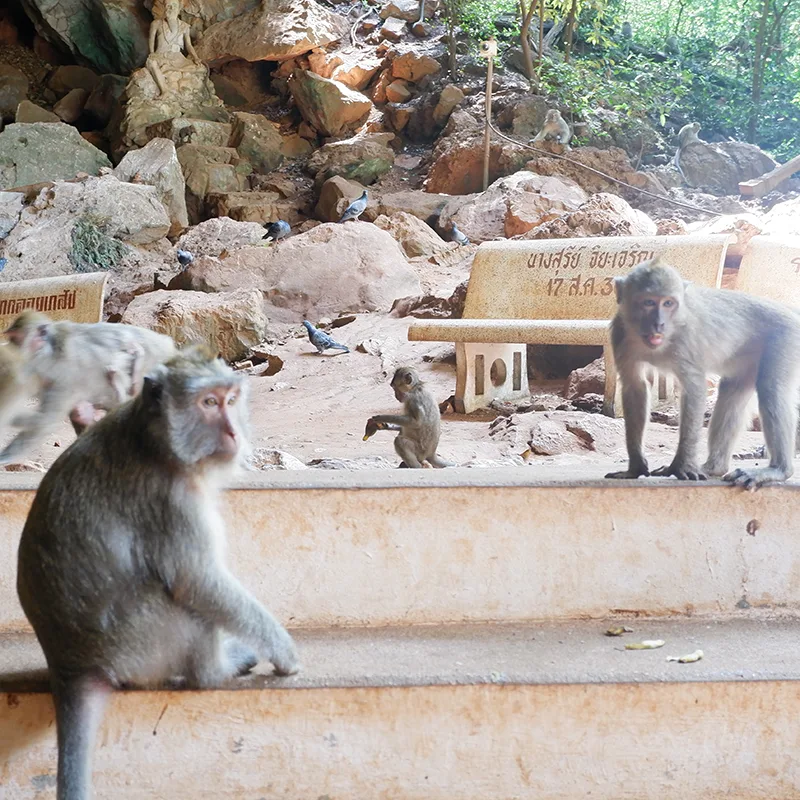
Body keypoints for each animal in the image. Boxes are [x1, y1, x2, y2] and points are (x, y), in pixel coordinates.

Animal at [0, 311, 177, 464]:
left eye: (16, 340)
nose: (9, 349)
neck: (49, 352)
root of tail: (170, 346)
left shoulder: (64, 377)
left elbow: (45, 421)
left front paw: (5, 457)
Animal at [16, 346, 299, 800]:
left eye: (231, 400)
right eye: (208, 403)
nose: (234, 433)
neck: (154, 441)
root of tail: (71, 667)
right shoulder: (171, 501)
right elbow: (195, 580)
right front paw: (283, 651)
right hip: (142, 643)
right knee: (184, 601)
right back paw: (216, 671)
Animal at [605, 258, 800, 489]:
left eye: (668, 303)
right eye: (649, 302)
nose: (658, 323)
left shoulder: (686, 338)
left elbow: (694, 388)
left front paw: (681, 466)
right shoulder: (619, 333)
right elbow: (635, 386)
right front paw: (635, 468)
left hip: (786, 337)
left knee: (771, 390)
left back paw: (778, 470)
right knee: (732, 392)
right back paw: (714, 467)